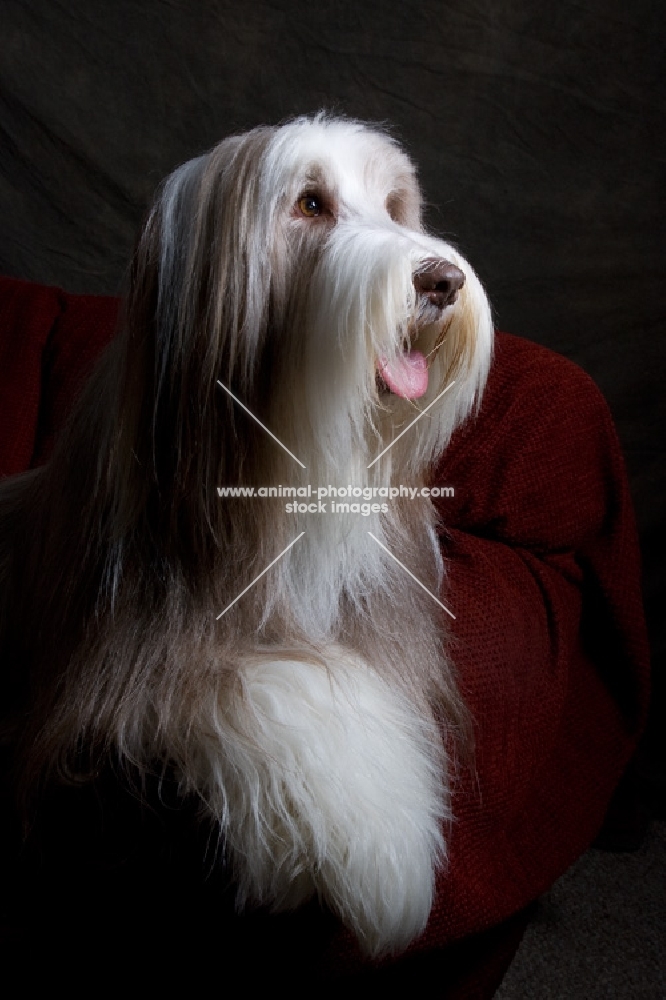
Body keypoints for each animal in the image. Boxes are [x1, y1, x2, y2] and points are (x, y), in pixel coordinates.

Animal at [0, 115, 490, 960]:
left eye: (395, 206)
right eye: (310, 204)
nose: (441, 281)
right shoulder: (125, 660)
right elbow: (263, 682)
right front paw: (378, 855)